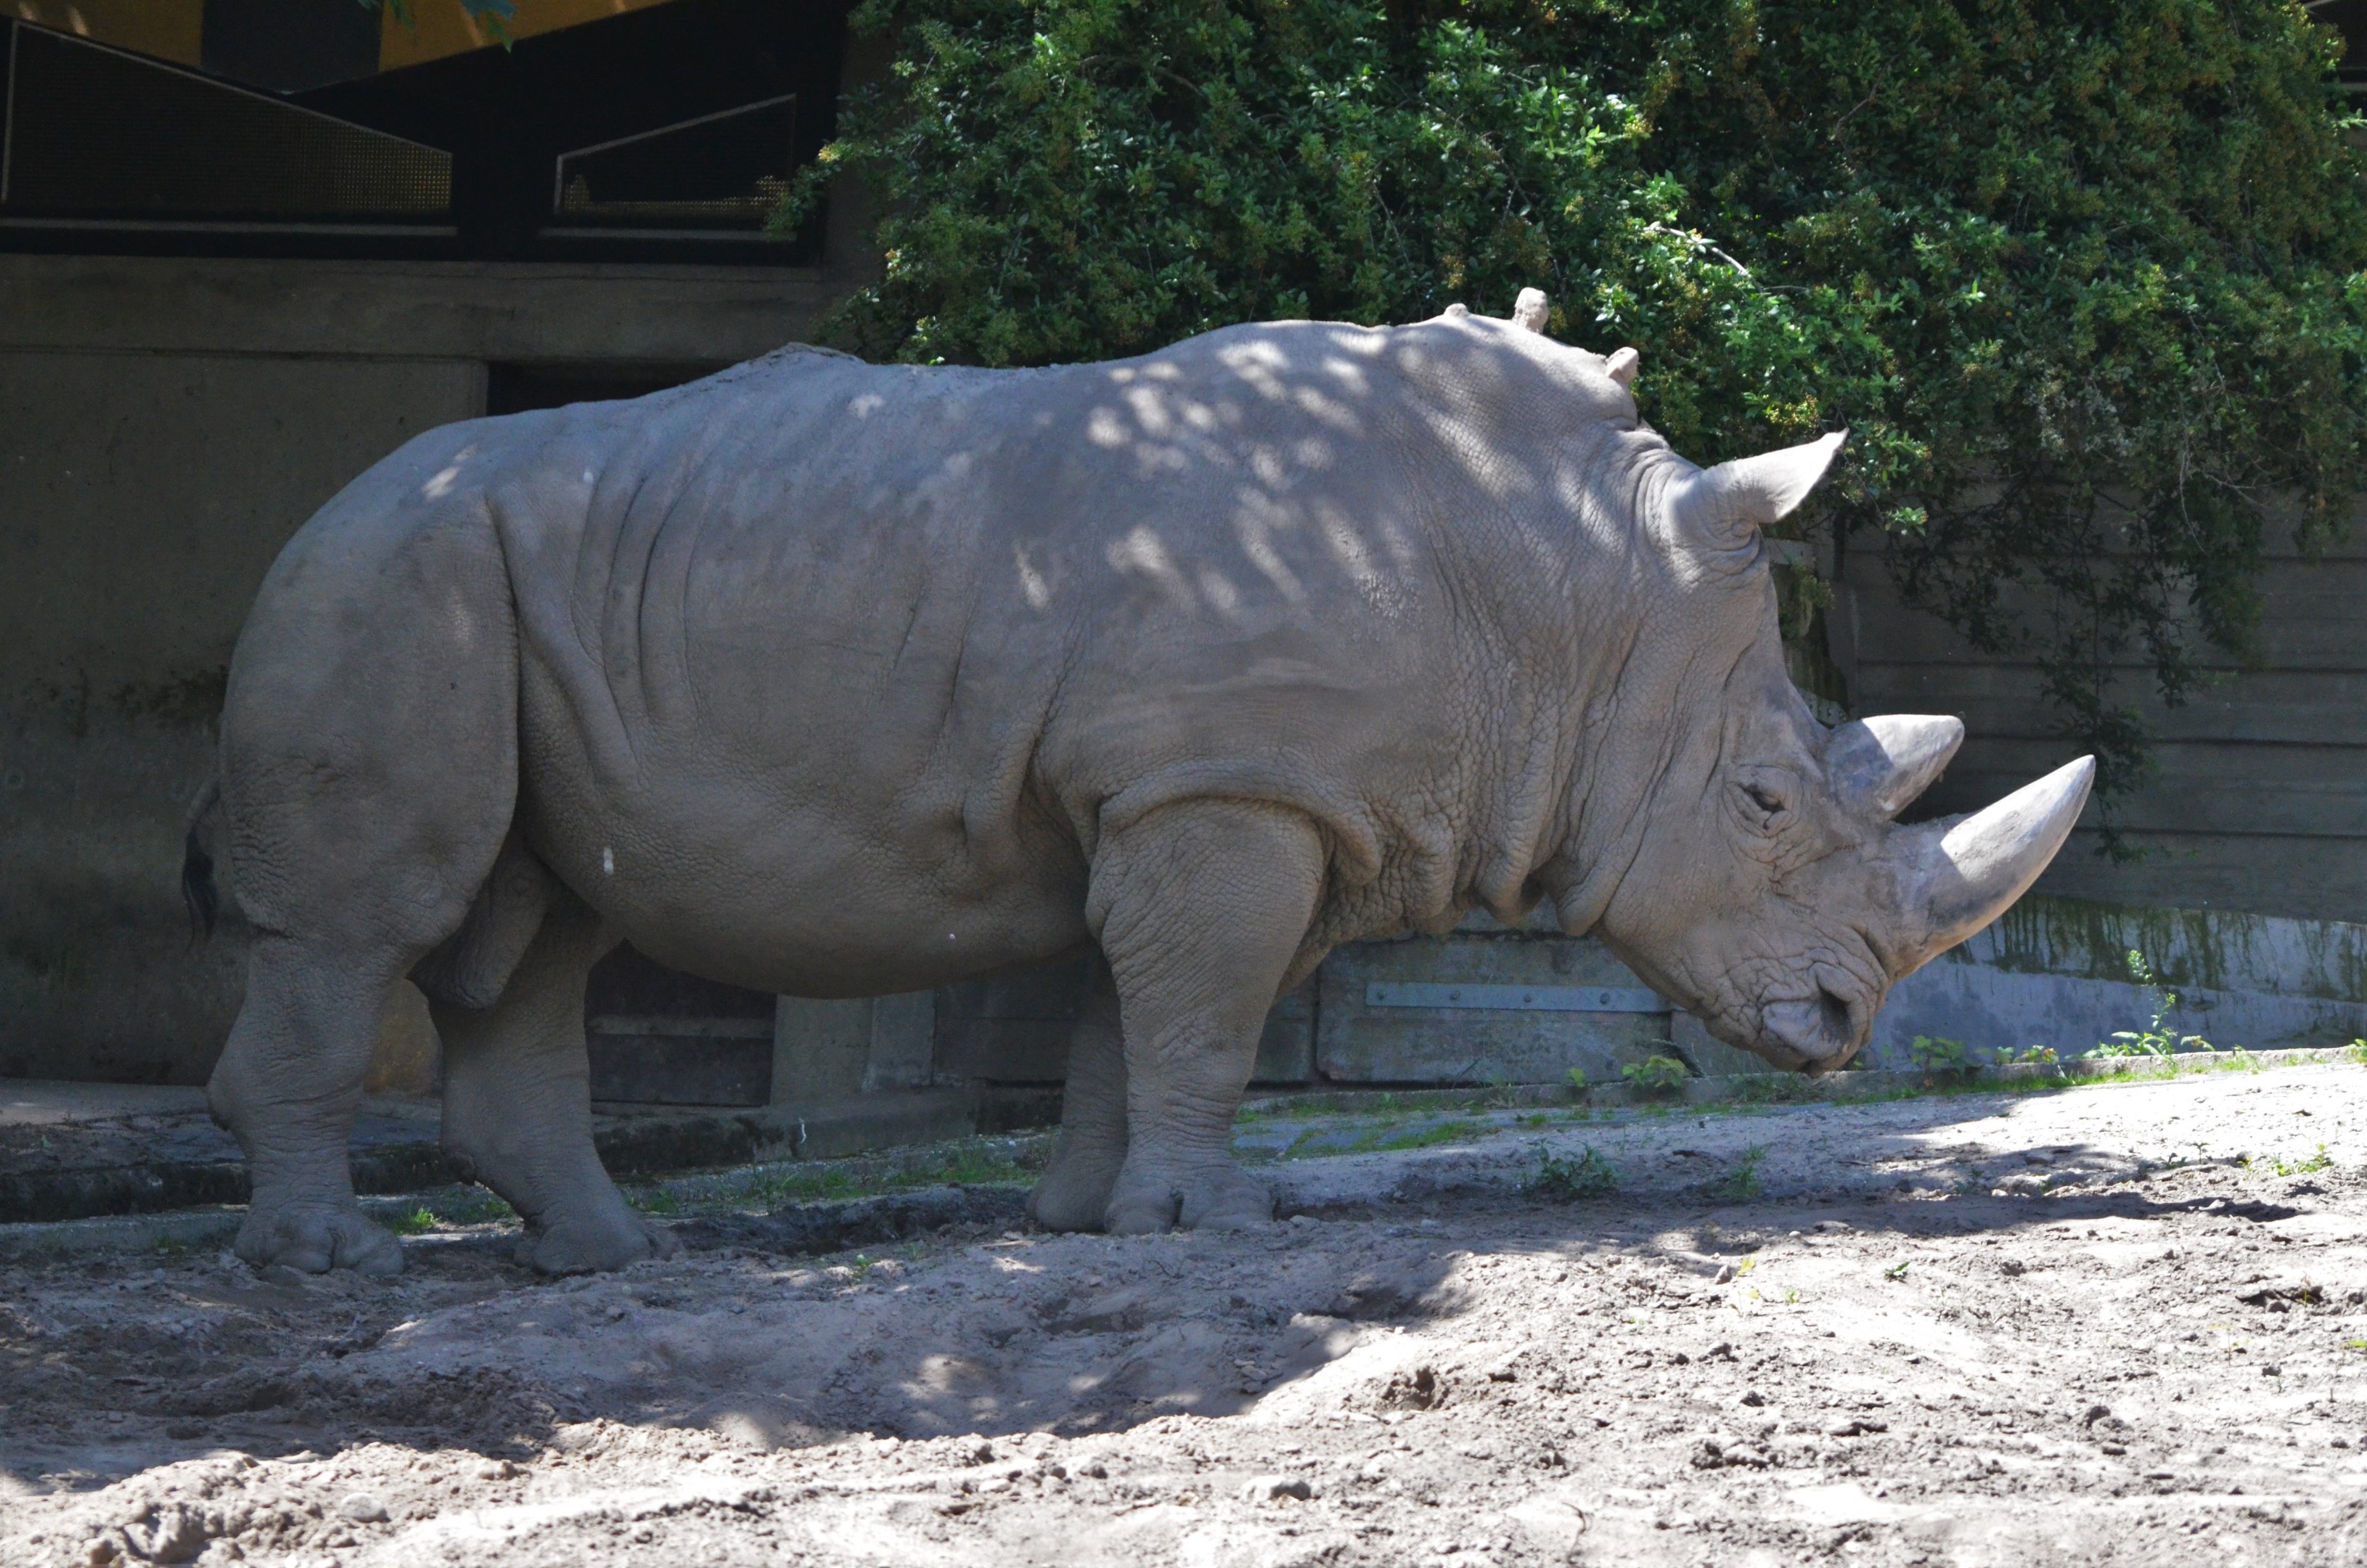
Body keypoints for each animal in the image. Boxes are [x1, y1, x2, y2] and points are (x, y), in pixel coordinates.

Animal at [185, 294, 2090, 1276]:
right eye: (1764, 805)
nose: (1839, 1027)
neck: (1568, 600)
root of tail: (334, 497)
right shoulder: (1223, 787)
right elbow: (1203, 1010)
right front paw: (1207, 1223)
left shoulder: (1229, 786)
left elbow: (1143, 1013)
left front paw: (1099, 1217)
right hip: (385, 573)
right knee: (374, 919)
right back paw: (330, 1263)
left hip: (503, 583)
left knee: (537, 921)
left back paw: (603, 1256)